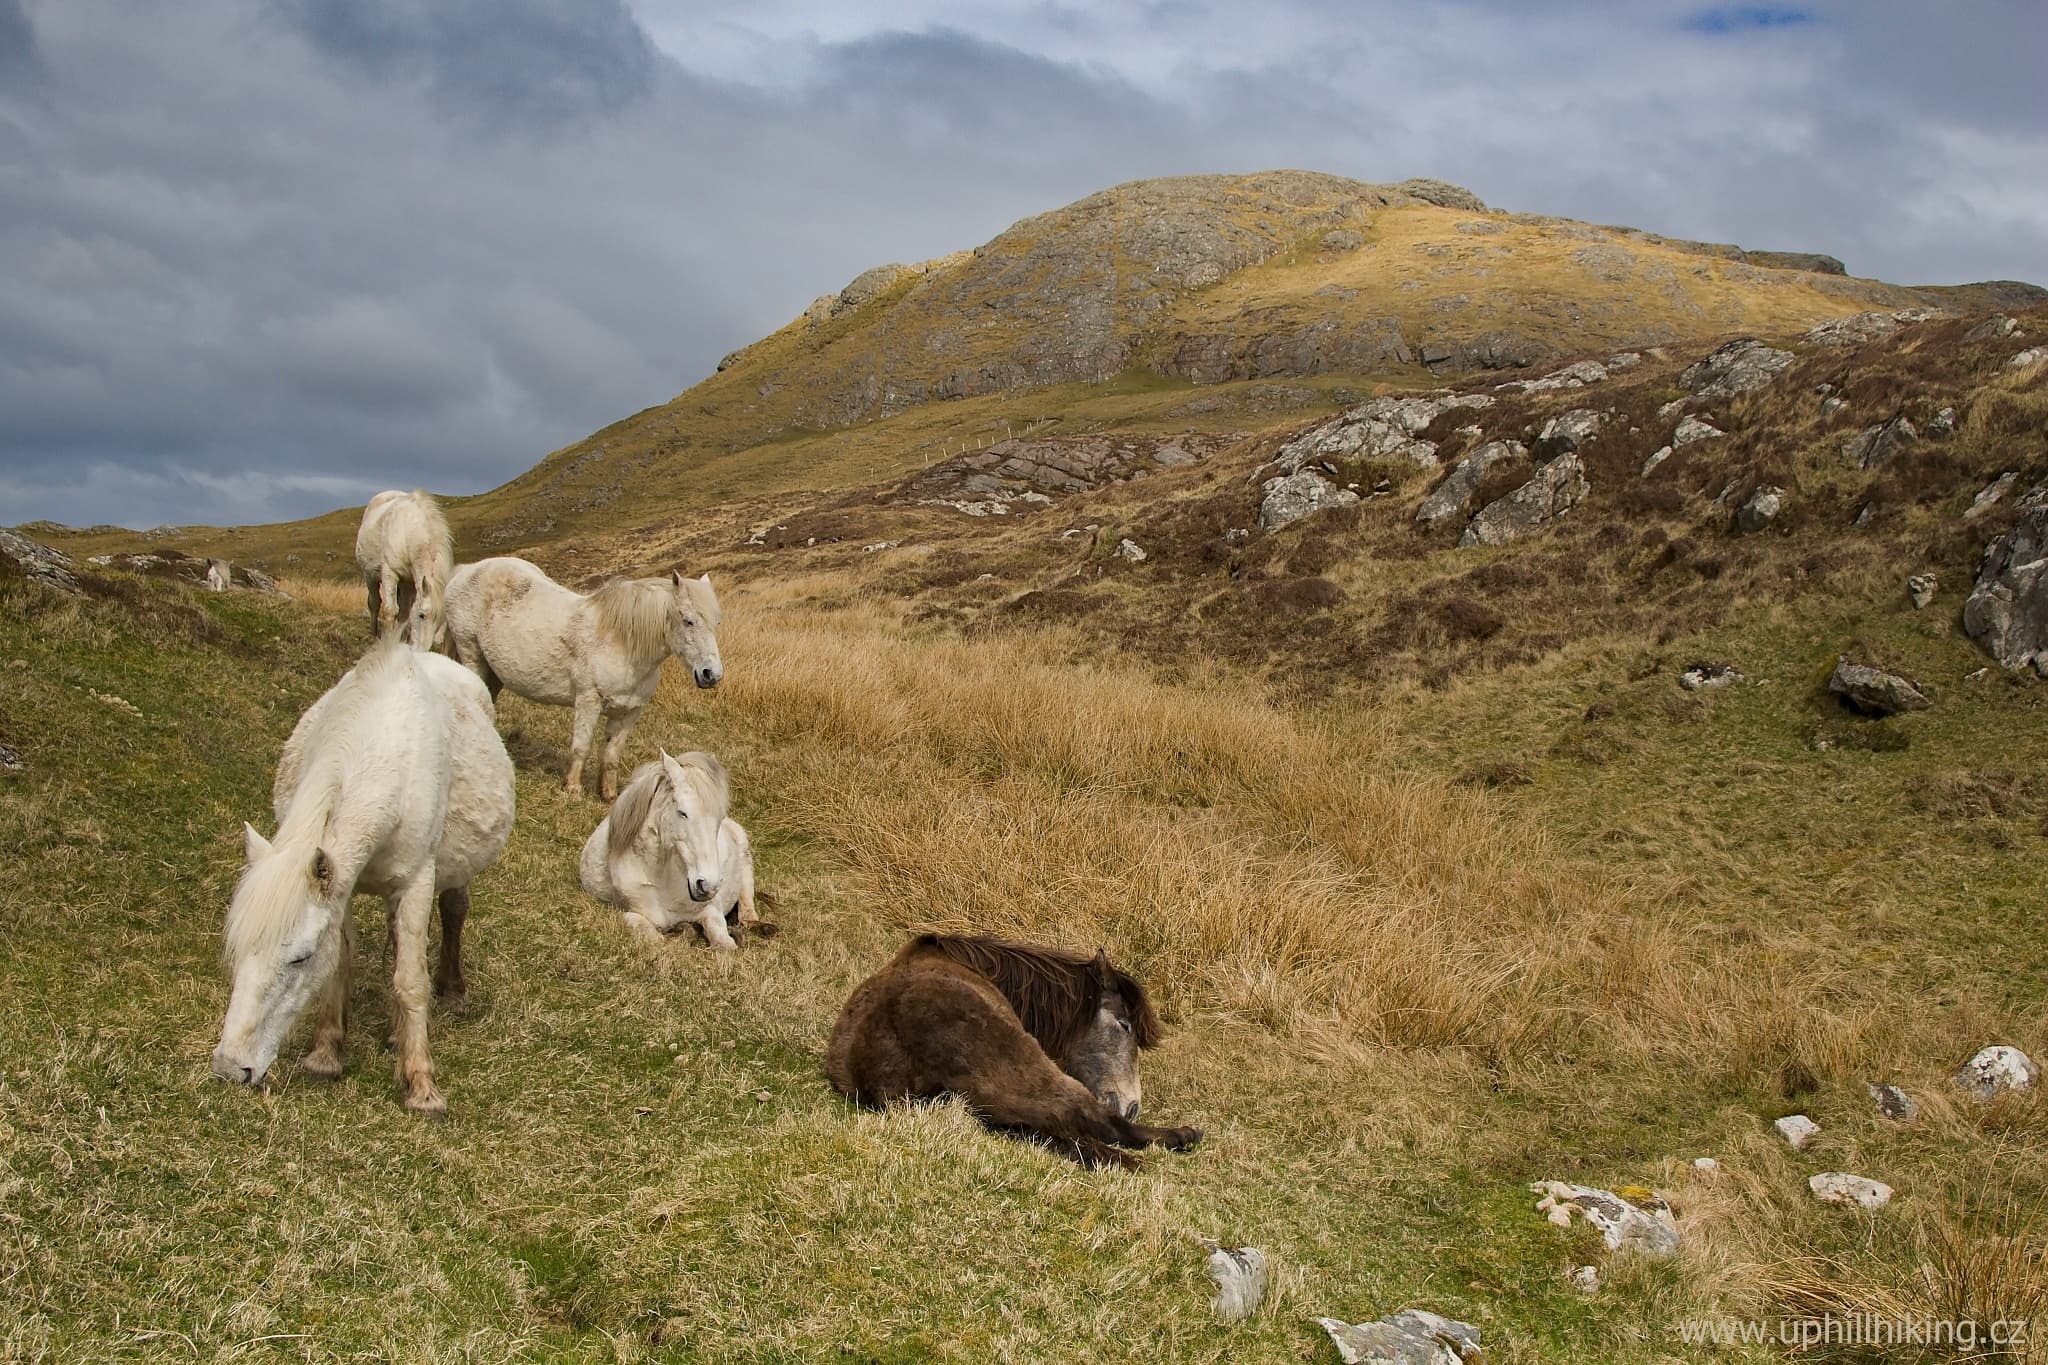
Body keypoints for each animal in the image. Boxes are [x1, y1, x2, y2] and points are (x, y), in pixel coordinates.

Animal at [212, 642, 516, 1121]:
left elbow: (410, 980)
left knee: (452, 913)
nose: (230, 1066)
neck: (383, 758)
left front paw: (422, 1087)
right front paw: (326, 1054)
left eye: (300, 958)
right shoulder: (343, 887)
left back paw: (451, 993)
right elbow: (343, 961)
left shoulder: (416, 882)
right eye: (238, 948)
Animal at [358, 491, 458, 650]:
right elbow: (390, 610)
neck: (408, 532)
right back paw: (373, 634)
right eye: (421, 615)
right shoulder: (389, 573)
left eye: (440, 621)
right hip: (370, 577)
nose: (420, 652)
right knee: (374, 603)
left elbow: (404, 614)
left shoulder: (410, 582)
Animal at [444, 556, 724, 802]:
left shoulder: (629, 712)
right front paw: (573, 790)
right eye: (688, 621)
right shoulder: (589, 701)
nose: (711, 674)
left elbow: (611, 754)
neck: (622, 644)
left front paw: (608, 795)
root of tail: (466, 571)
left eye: (717, 623)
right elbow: (582, 746)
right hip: (471, 655)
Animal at [581, 749, 765, 949]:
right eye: (682, 813)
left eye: (719, 817)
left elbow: (724, 942)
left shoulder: (710, 909)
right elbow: (647, 933)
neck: (662, 878)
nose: (708, 886)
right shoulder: (629, 912)